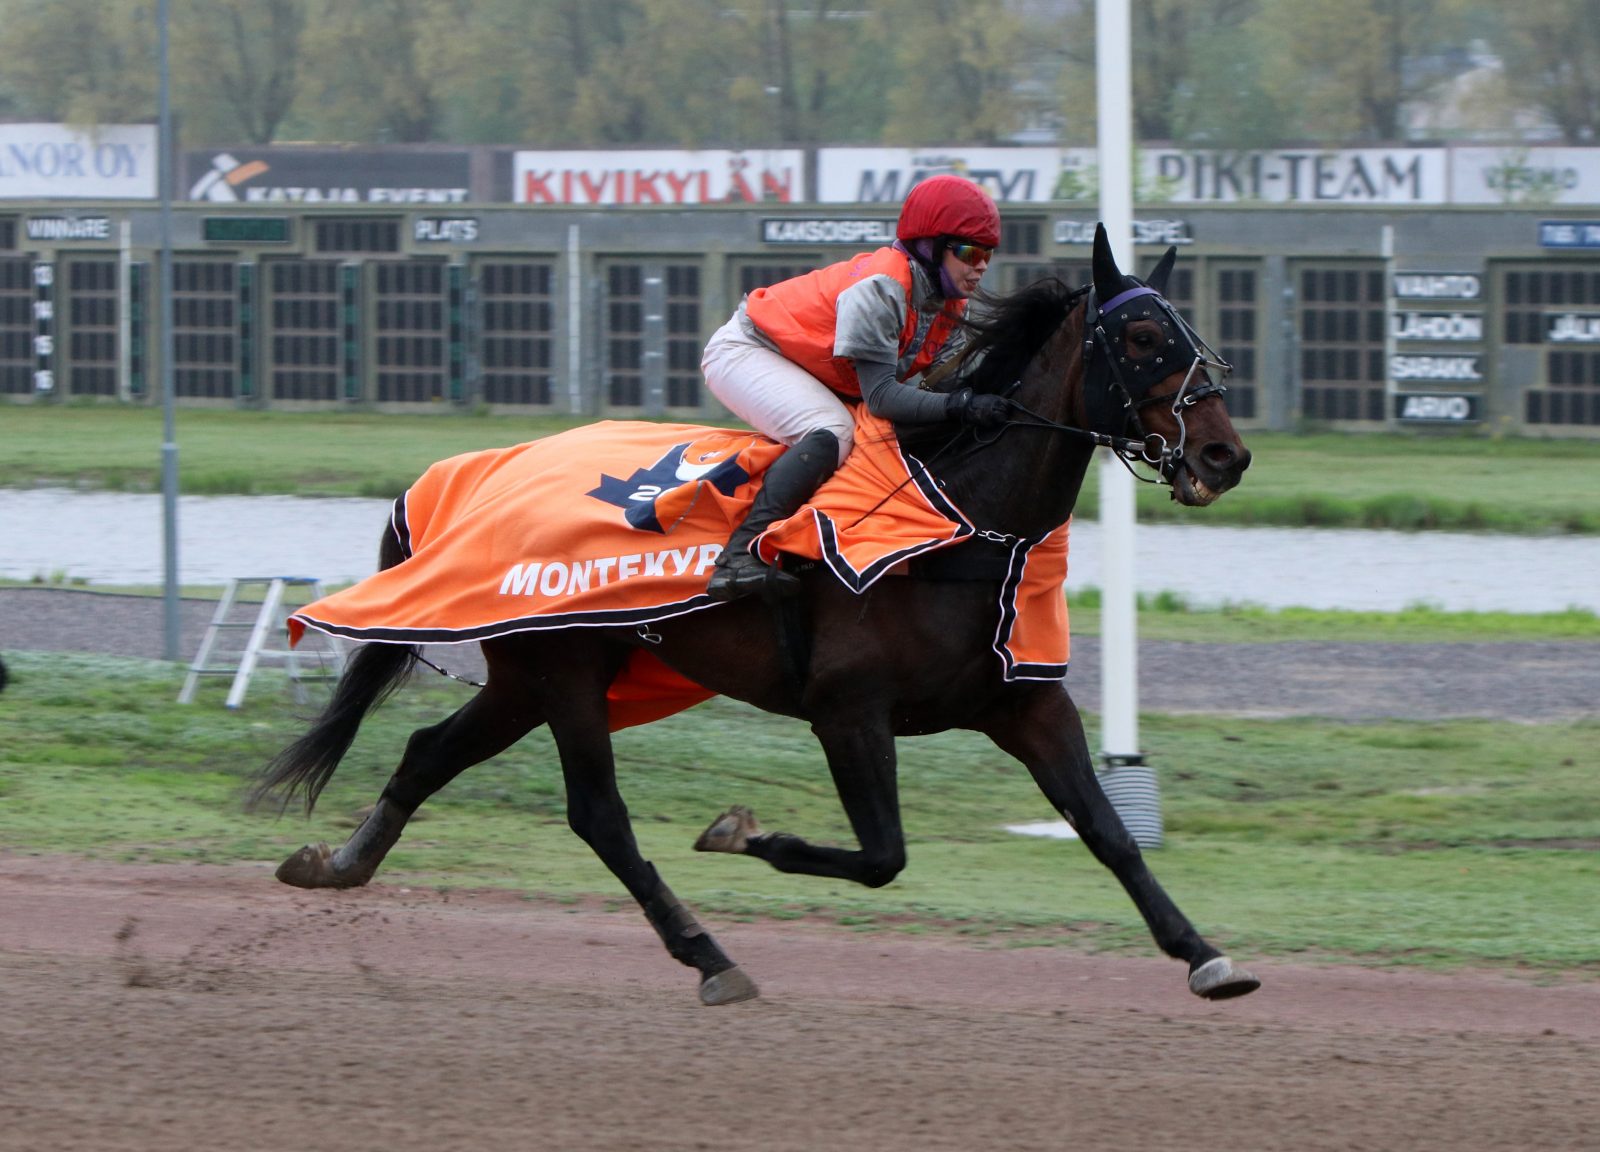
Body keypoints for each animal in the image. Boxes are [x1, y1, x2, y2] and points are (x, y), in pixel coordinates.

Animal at [249, 222, 1254, 998]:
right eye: (1141, 338)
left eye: (1190, 331)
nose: (1225, 456)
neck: (964, 524)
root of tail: (462, 477)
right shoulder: (848, 711)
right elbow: (883, 855)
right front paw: (739, 832)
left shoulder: (1025, 701)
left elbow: (1111, 834)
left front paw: (1204, 955)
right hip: (565, 667)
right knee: (598, 814)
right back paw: (707, 955)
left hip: (531, 671)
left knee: (429, 754)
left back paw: (338, 864)